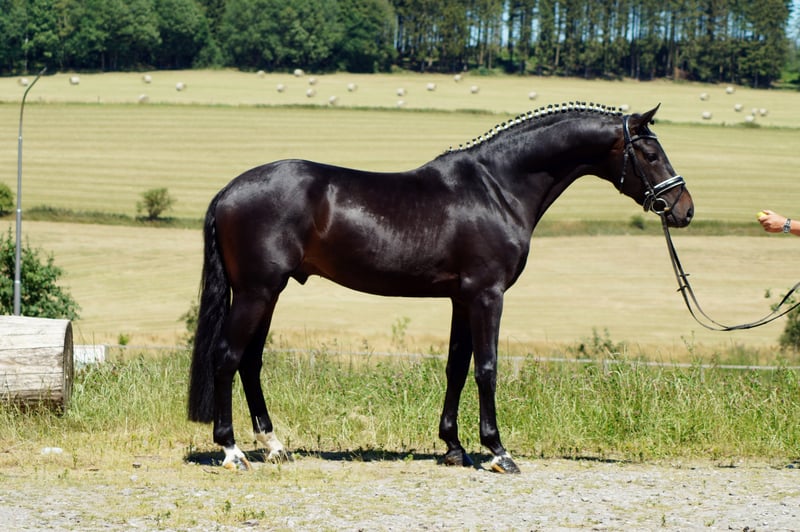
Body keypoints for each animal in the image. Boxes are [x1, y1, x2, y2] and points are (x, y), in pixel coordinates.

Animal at [188, 102, 693, 474]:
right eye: (651, 154)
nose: (683, 209)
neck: (497, 188)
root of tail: (228, 192)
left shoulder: (461, 298)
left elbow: (456, 366)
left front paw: (454, 446)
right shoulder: (488, 295)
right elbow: (486, 368)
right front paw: (498, 452)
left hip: (267, 294)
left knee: (250, 362)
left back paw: (274, 446)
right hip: (257, 292)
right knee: (228, 357)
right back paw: (232, 452)